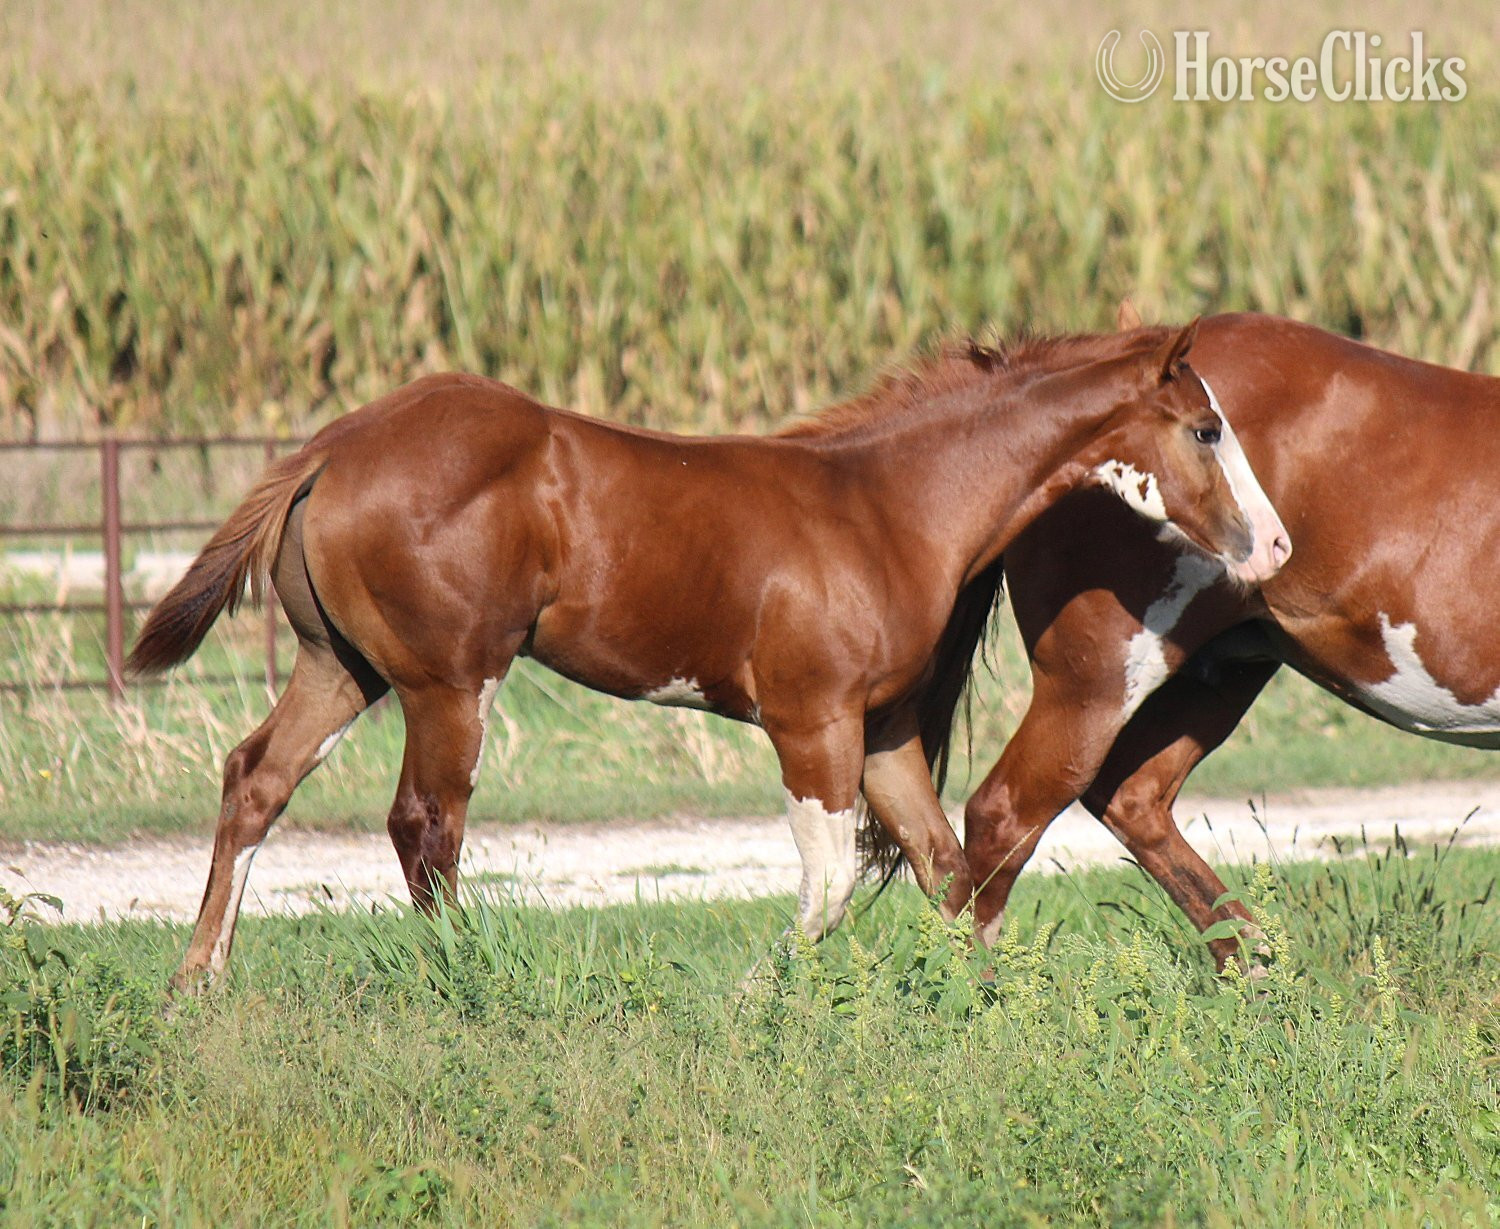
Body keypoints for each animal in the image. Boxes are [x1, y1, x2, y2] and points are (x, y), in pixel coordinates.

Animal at [127, 320, 1289, 992]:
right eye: (1203, 429)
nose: (1276, 546)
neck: (887, 507)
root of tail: (334, 446)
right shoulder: (809, 720)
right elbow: (829, 885)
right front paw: (760, 1000)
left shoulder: (881, 729)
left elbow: (945, 871)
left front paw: (978, 1006)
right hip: (449, 681)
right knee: (426, 828)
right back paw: (469, 983)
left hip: (341, 666)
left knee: (257, 779)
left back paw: (199, 984)